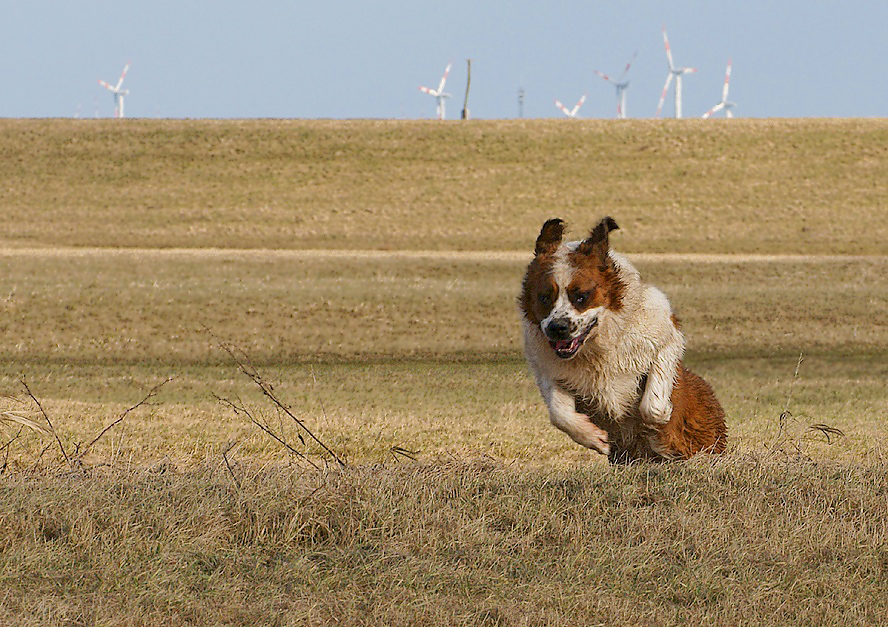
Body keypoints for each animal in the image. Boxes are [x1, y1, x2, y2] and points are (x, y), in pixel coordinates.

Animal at [524, 218, 724, 464]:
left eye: (581, 296)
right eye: (544, 297)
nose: (557, 328)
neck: (596, 349)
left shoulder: (667, 334)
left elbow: (652, 404)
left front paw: (661, 419)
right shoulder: (551, 370)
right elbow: (559, 414)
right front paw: (594, 437)